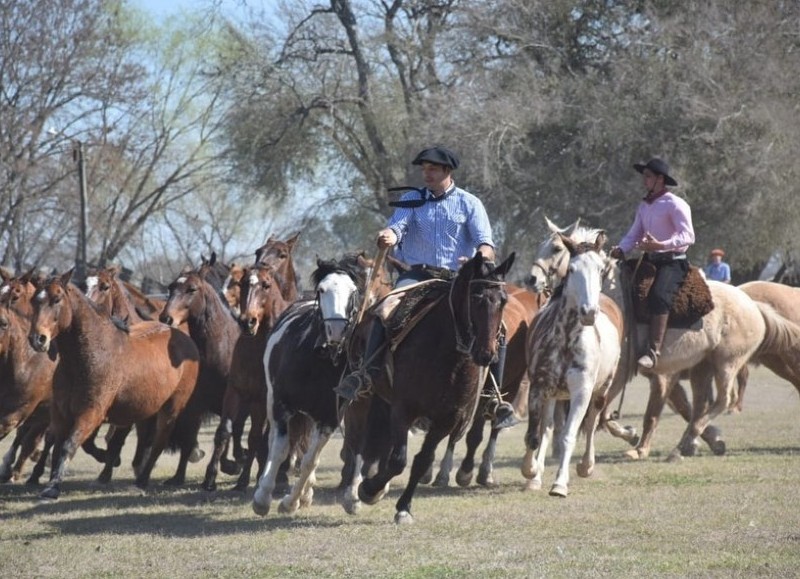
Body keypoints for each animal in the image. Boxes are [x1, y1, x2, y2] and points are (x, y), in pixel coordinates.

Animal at [30, 272, 200, 498]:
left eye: (56, 299)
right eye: (34, 301)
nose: (37, 339)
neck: (87, 356)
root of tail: (187, 341)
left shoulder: (91, 412)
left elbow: (69, 445)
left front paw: (52, 487)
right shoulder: (60, 413)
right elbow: (59, 444)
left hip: (171, 408)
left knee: (159, 441)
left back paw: (142, 480)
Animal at [354, 254, 512, 524]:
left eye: (503, 300)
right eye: (476, 297)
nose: (486, 355)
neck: (448, 358)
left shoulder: (447, 419)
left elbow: (422, 460)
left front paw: (404, 507)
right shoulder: (404, 409)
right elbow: (399, 460)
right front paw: (369, 489)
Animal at [520, 229, 624, 496]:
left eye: (600, 269)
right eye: (573, 269)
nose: (589, 313)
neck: (566, 338)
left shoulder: (581, 392)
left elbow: (569, 436)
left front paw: (559, 484)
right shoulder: (538, 388)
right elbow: (534, 434)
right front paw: (531, 471)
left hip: (601, 391)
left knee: (591, 423)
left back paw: (586, 466)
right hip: (553, 395)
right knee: (546, 428)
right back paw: (536, 476)